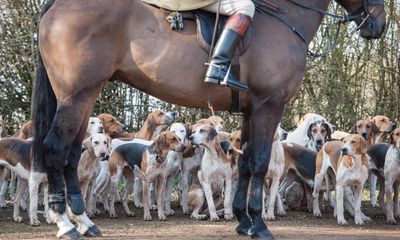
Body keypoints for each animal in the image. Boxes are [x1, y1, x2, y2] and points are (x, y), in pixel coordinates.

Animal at [32, 0, 384, 238]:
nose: (378, 25)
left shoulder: (251, 111)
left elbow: (245, 165)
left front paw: (243, 221)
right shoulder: (269, 105)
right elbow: (257, 163)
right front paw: (258, 225)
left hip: (83, 97)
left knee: (71, 151)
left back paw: (84, 221)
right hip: (77, 94)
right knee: (56, 148)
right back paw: (65, 222)